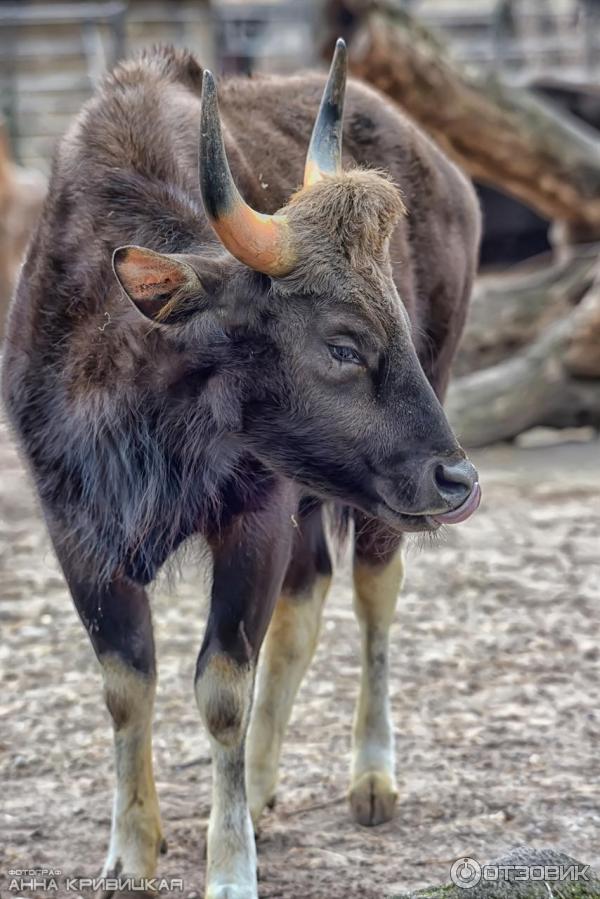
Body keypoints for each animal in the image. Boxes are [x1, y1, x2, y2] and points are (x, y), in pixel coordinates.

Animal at [2, 40, 482, 892]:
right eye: (343, 342)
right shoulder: (76, 529)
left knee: (372, 595)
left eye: (394, 314)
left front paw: (230, 867)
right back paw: (259, 789)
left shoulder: (254, 516)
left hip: (382, 490)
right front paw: (131, 851)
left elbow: (222, 686)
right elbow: (127, 684)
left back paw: (371, 774)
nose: (458, 479)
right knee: (305, 601)